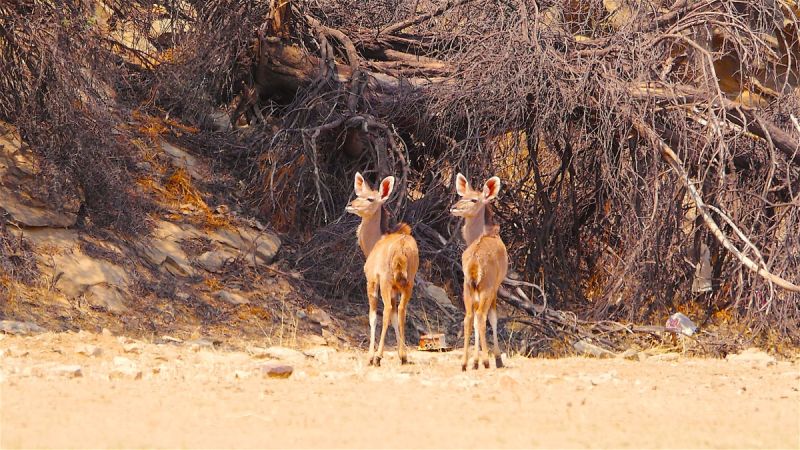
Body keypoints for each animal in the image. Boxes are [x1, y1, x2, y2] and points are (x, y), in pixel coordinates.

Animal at [344, 172, 418, 366]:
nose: (350, 205)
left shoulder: (372, 280)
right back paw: (403, 355)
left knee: (385, 310)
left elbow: (373, 316)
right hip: (408, 283)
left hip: (386, 281)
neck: (374, 243)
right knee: (401, 310)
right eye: (359, 194)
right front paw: (402, 354)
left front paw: (371, 355)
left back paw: (377, 357)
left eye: (370, 198)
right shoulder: (396, 289)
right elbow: (394, 316)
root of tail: (401, 249)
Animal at [450, 172, 506, 370]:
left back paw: (464, 363)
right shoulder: (496, 286)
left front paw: (475, 360)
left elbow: (473, 320)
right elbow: (493, 318)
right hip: (486, 287)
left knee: (468, 317)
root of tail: (475, 264)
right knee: (481, 316)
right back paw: (486, 361)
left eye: (474, 199)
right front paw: (494, 358)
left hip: (467, 287)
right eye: (462, 196)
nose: (454, 207)